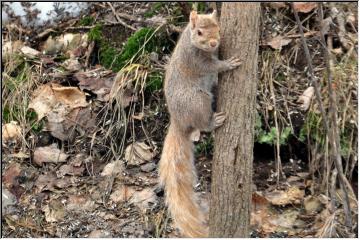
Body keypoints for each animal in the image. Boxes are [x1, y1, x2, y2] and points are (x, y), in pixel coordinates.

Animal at [159, 10, 240, 237]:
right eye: (199, 32)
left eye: (218, 28)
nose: (213, 42)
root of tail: (178, 121)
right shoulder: (195, 60)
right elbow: (212, 65)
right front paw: (228, 63)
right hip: (198, 101)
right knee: (202, 124)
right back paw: (213, 121)